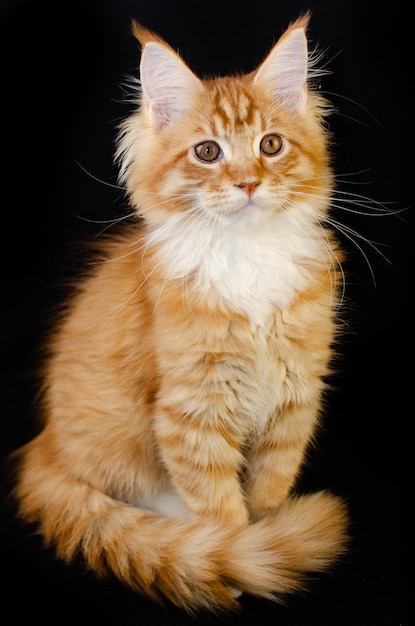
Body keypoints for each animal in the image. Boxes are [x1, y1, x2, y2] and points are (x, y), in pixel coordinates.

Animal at [11, 13, 350, 608]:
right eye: (208, 152)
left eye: (270, 145)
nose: (248, 182)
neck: (245, 256)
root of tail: (42, 448)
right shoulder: (190, 412)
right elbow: (221, 510)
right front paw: (237, 562)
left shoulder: (295, 398)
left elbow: (268, 487)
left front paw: (269, 532)